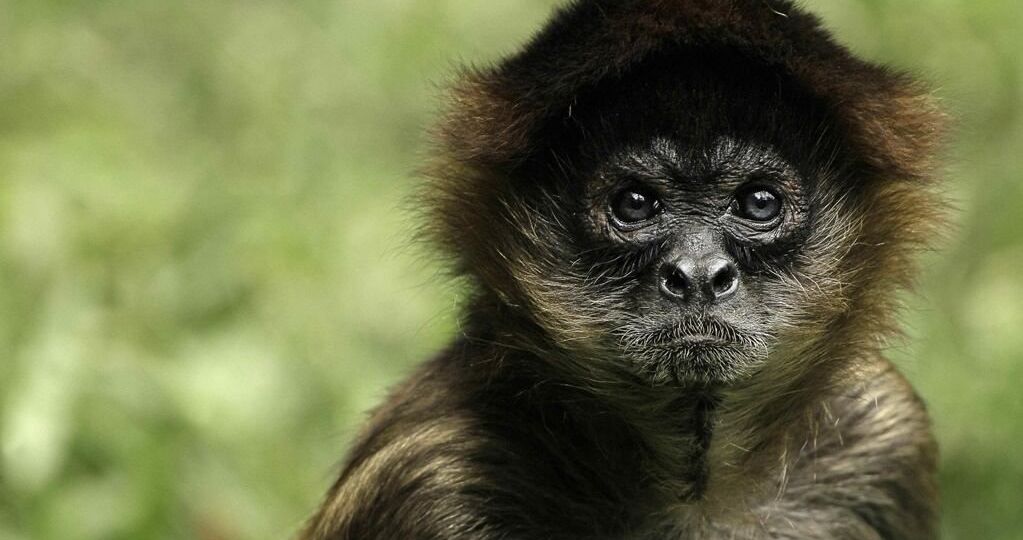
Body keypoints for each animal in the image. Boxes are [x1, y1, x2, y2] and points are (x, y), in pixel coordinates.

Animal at [300, 1, 947, 538]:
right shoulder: (428, 471)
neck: (694, 497)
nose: (698, 275)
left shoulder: (882, 430)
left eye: (758, 203)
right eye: (635, 204)